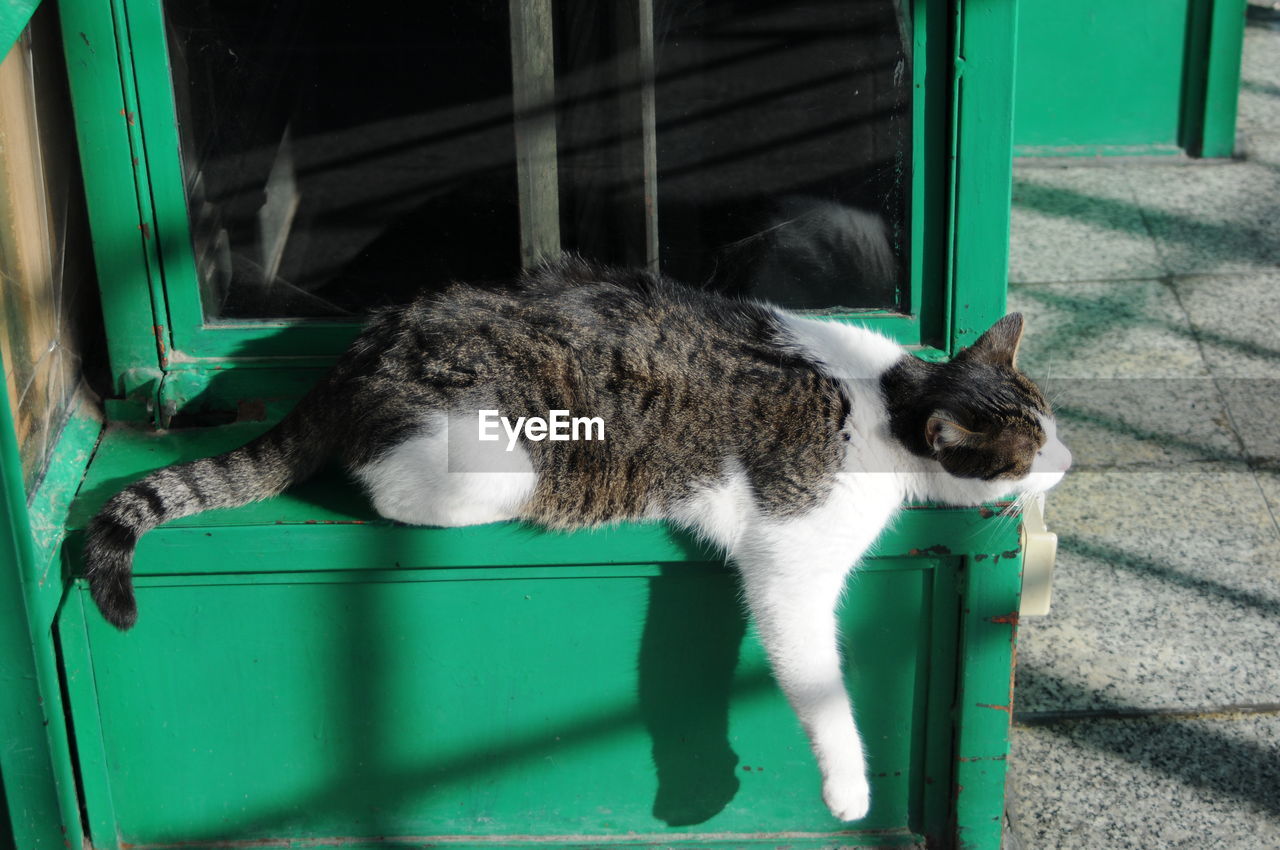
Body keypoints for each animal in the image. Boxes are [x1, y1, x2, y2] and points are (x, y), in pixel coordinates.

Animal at [82, 257, 1070, 819]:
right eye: (1026, 455)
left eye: (1053, 421)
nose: (1068, 460)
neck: (893, 399)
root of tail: (357, 353)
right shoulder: (791, 554)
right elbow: (817, 683)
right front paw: (849, 788)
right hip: (494, 463)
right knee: (392, 482)